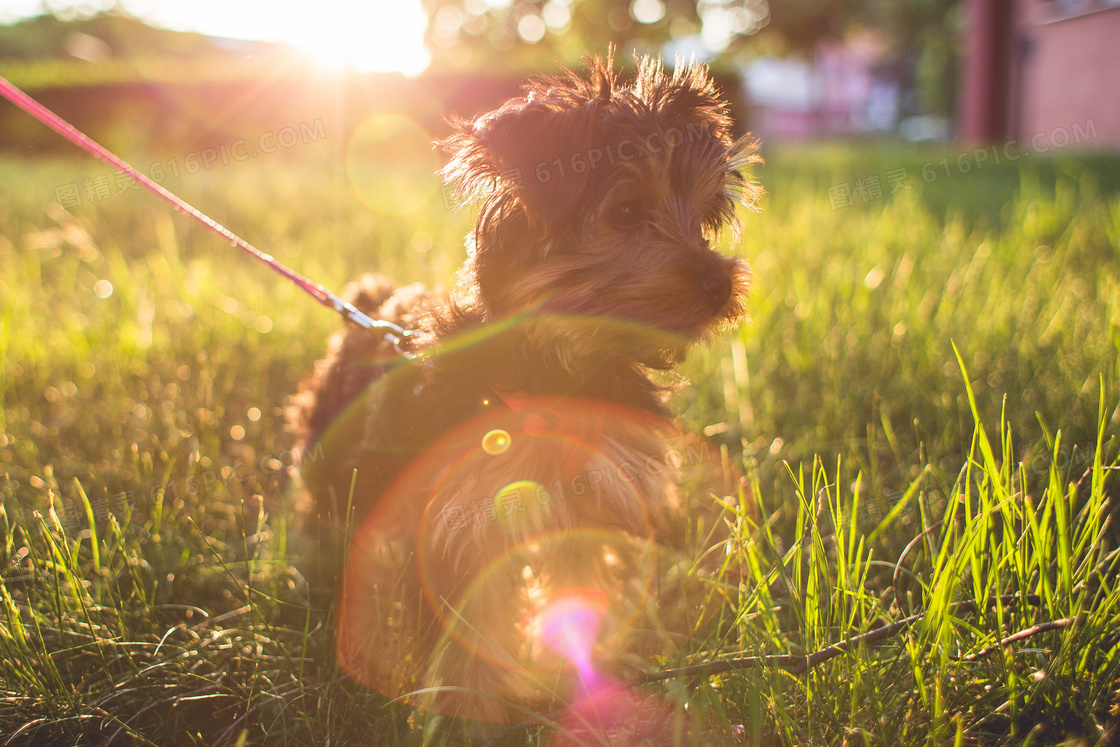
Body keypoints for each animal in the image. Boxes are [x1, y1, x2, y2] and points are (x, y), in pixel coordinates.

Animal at [288, 54, 761, 734]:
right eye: (625, 212)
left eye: (702, 219)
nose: (719, 283)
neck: (558, 371)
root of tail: (371, 305)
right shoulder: (461, 518)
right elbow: (469, 630)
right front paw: (466, 719)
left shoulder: (595, 502)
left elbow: (579, 595)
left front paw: (581, 692)